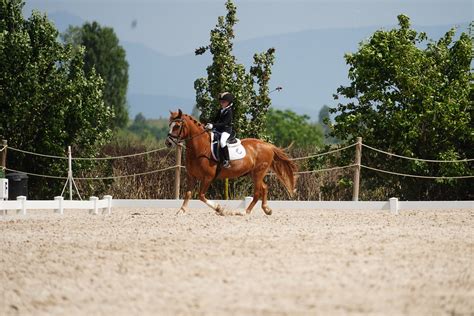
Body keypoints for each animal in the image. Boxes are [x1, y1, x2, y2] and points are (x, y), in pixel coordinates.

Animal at [164, 110, 296, 216]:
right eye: (169, 125)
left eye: (177, 126)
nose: (168, 143)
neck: (200, 148)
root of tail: (268, 145)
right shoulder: (191, 176)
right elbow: (188, 193)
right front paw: (181, 210)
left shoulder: (208, 177)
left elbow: (201, 195)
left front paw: (219, 209)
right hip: (254, 173)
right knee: (264, 188)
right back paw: (266, 209)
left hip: (258, 172)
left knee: (257, 192)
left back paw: (245, 212)